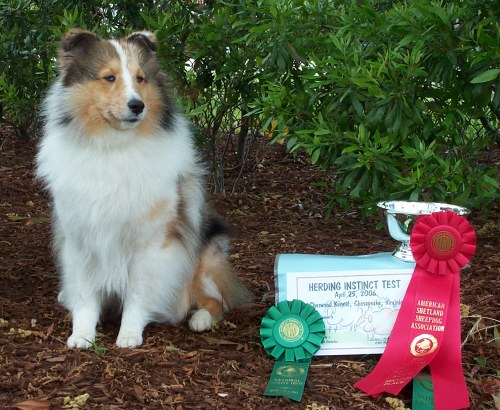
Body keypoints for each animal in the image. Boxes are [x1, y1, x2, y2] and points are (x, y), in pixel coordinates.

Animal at [35, 28, 250, 350]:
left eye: (140, 78)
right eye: (109, 77)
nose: (138, 106)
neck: (113, 148)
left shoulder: (150, 244)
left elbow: (138, 294)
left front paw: (129, 335)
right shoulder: (80, 239)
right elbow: (85, 294)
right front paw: (82, 334)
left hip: (204, 256)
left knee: (217, 301)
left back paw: (200, 319)